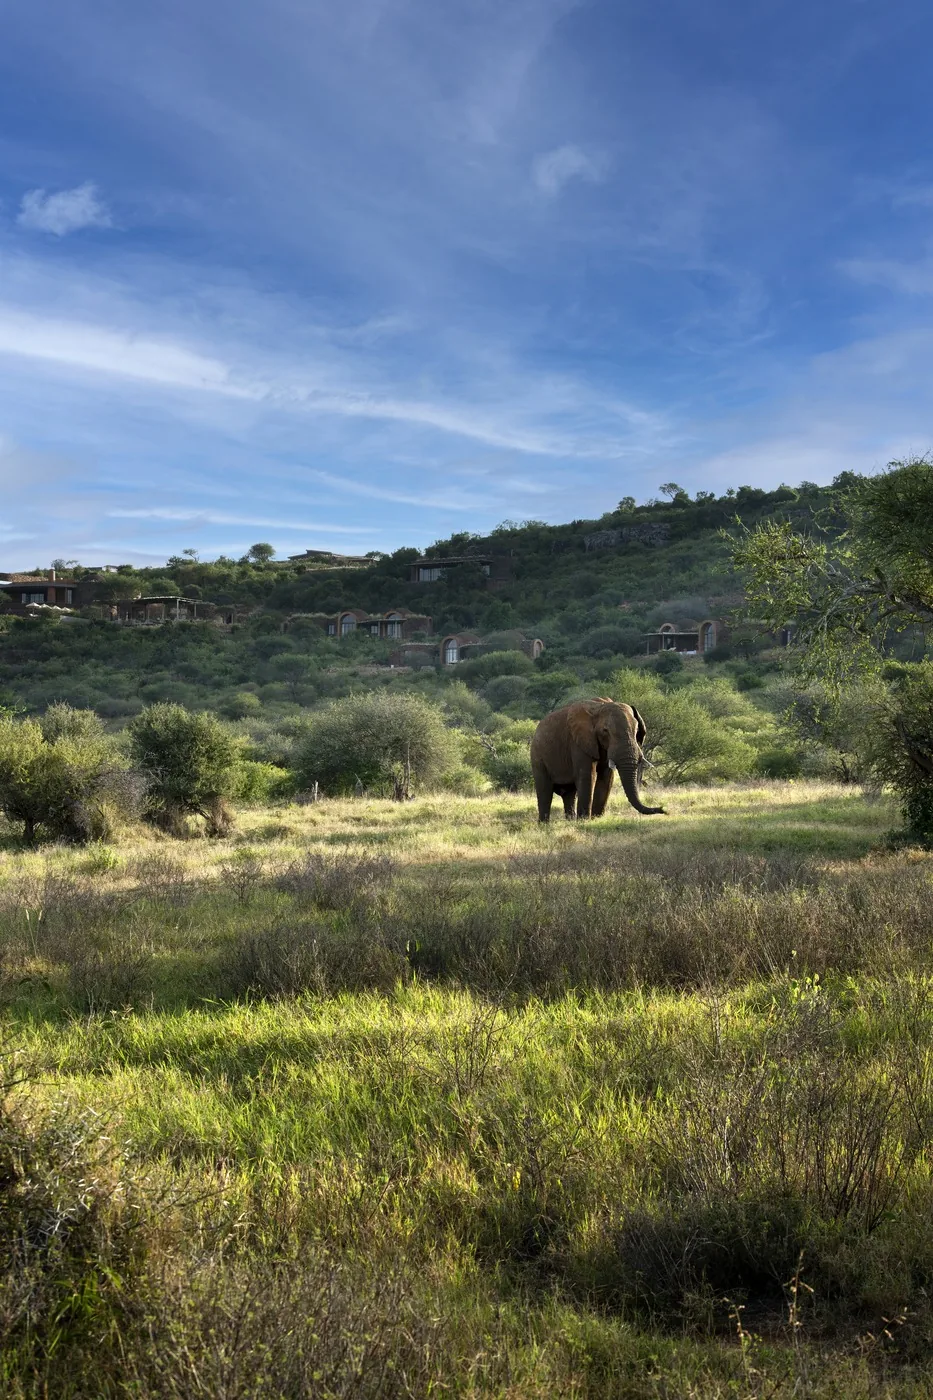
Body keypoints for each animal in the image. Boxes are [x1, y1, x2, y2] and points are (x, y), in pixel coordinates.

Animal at [530, 697, 665, 822]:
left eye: (636, 731)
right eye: (605, 731)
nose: (662, 808)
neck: (600, 706)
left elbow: (607, 777)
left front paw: (596, 819)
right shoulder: (579, 743)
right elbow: (588, 776)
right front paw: (584, 821)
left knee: (569, 794)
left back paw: (570, 821)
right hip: (537, 757)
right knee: (545, 791)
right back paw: (544, 825)